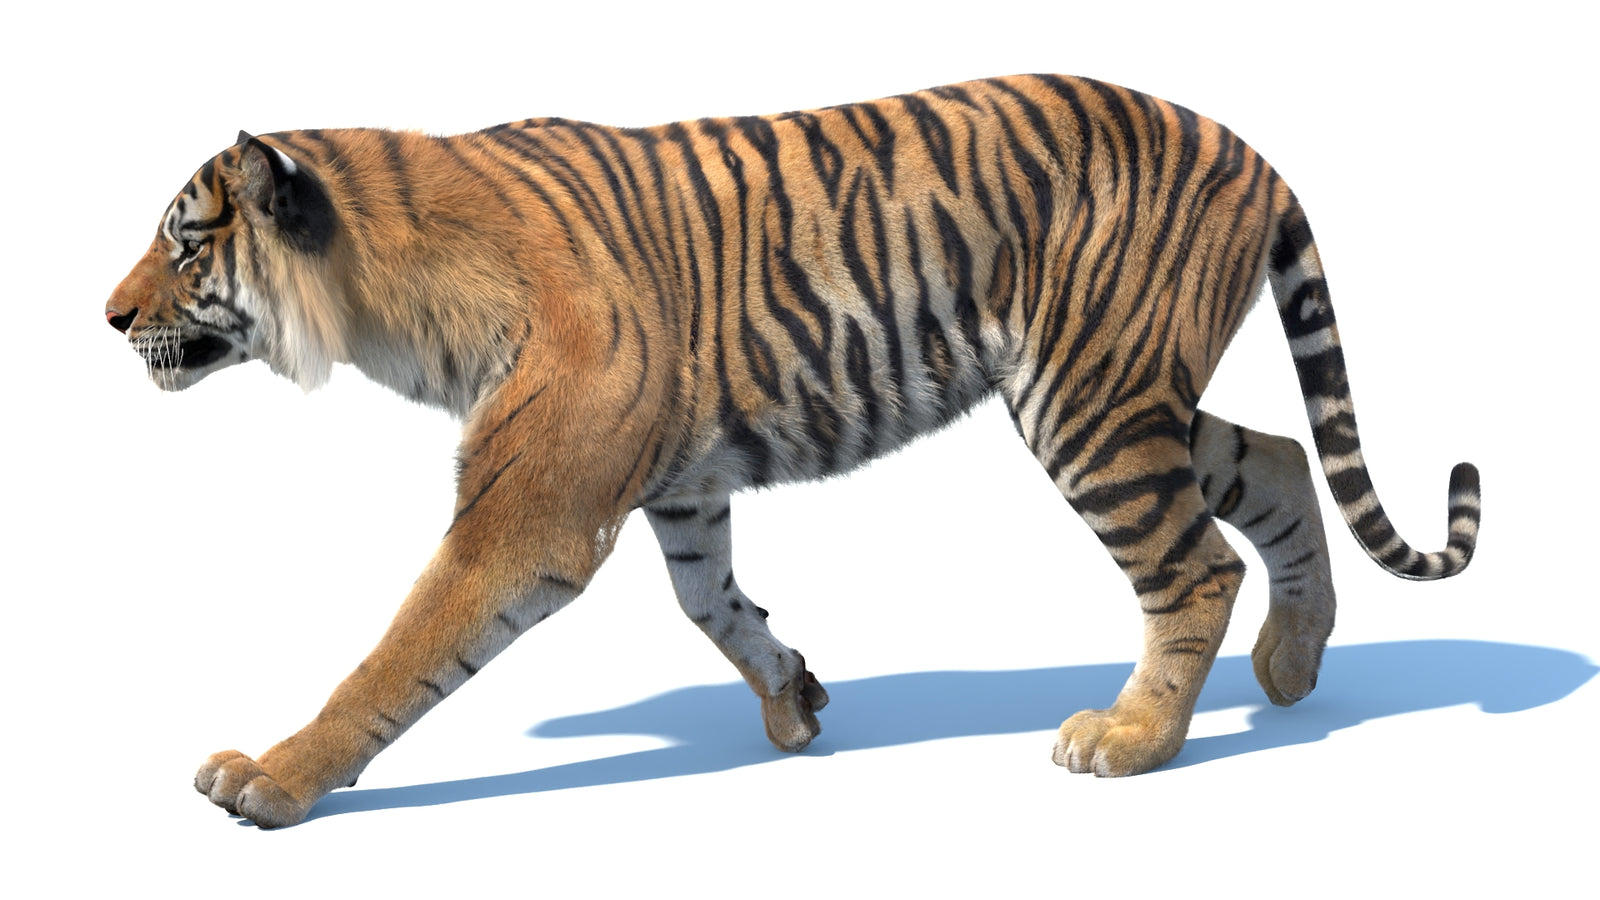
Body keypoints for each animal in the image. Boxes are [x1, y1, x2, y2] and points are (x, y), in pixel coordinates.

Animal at [105, 74, 1481, 828]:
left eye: (184, 244)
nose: (107, 318)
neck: (386, 291)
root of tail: (1254, 151)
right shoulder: (680, 482)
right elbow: (709, 598)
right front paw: (794, 697)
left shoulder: (526, 511)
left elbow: (394, 655)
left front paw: (270, 779)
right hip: (1135, 393)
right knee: (1281, 460)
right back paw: (1291, 668)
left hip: (1090, 398)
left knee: (1193, 564)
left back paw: (1131, 739)